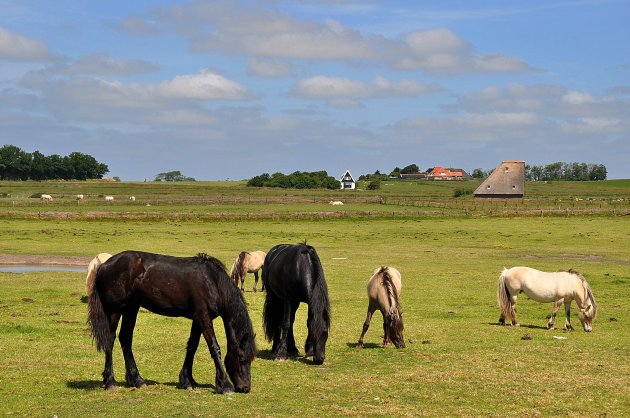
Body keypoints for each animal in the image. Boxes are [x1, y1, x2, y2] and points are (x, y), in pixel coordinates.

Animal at [87, 250, 258, 394]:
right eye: (242, 358)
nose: (245, 388)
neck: (213, 282)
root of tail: (103, 266)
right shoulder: (203, 316)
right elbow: (214, 348)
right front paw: (225, 385)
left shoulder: (198, 318)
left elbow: (192, 346)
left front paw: (187, 380)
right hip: (115, 310)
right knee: (110, 339)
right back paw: (110, 381)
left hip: (131, 308)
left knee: (125, 338)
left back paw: (137, 380)